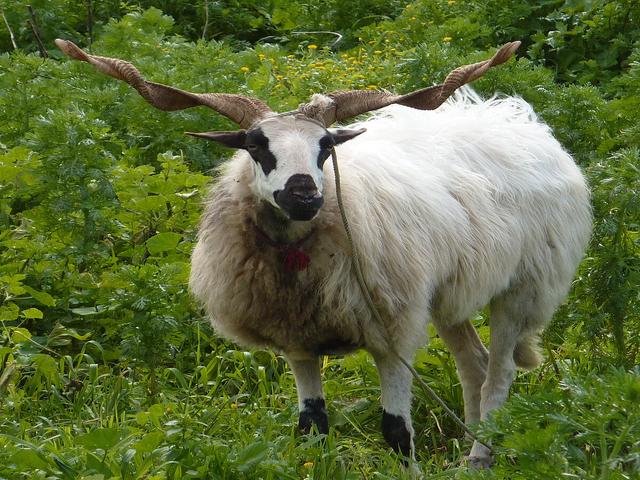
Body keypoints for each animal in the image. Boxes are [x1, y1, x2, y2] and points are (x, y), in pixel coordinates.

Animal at [56, 39, 592, 468]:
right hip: (446, 297)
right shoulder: (297, 341)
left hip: (522, 288)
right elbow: (311, 429)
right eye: (255, 144)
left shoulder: (391, 333)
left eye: (325, 146)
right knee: (474, 366)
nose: (304, 195)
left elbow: (396, 432)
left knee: (498, 376)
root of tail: (513, 120)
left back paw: (480, 457)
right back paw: (469, 452)